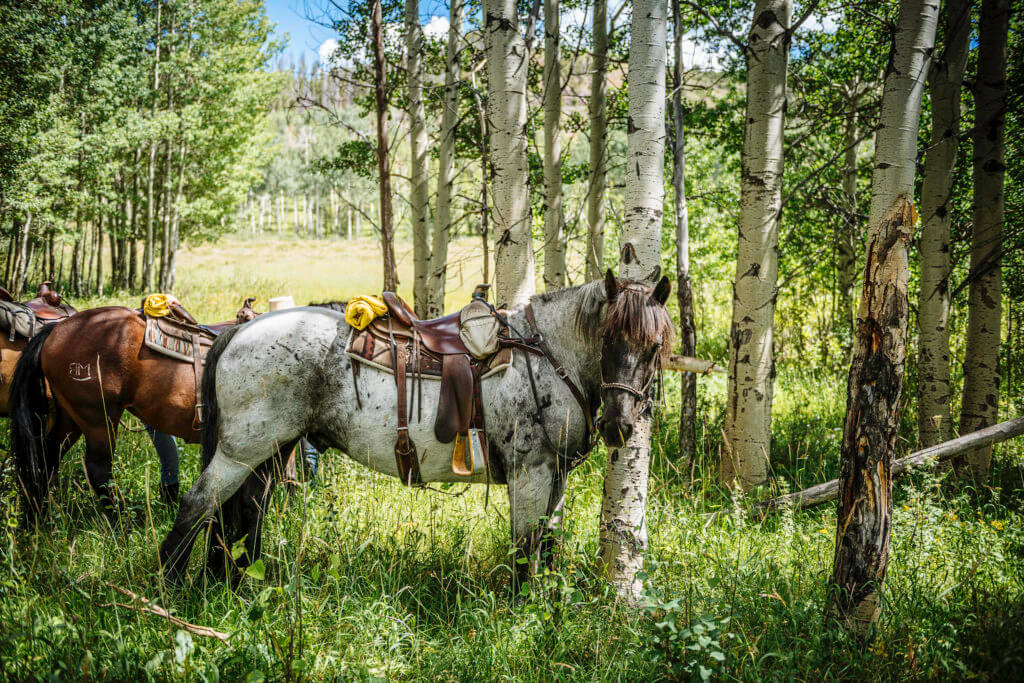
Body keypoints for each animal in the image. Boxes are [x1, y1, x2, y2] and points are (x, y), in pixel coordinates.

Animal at [9, 301, 256, 524]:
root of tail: (56, 330)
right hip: (98, 420)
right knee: (98, 471)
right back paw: (122, 523)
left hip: (70, 420)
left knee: (46, 458)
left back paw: (37, 520)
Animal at [157, 272, 671, 593]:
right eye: (609, 339)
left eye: (654, 347)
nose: (619, 425)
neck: (547, 355)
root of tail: (237, 333)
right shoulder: (531, 474)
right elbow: (525, 548)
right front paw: (523, 611)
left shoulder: (556, 477)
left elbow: (546, 545)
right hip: (241, 452)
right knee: (198, 506)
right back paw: (173, 588)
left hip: (269, 453)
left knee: (244, 515)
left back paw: (237, 583)